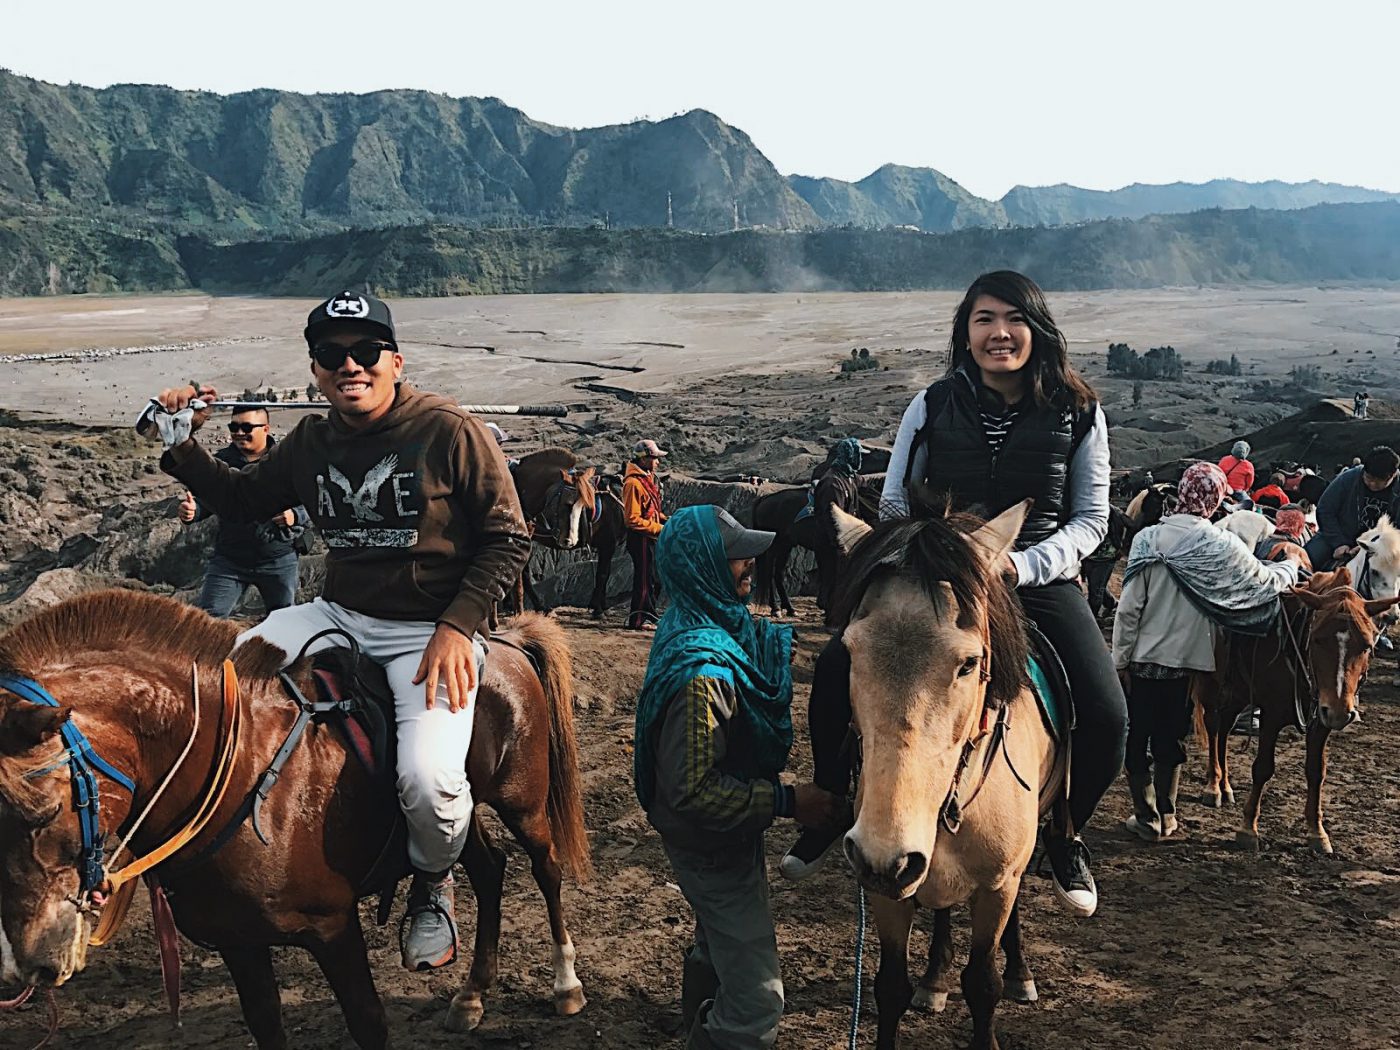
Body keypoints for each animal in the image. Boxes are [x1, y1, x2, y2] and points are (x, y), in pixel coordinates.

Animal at [0, 596, 585, 1047]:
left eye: (44, 812)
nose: (31, 966)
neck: (240, 779)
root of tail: (503, 642)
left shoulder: (333, 929)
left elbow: (368, 1023)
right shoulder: (239, 943)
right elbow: (267, 1025)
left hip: (522, 803)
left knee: (546, 870)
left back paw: (566, 984)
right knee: (488, 868)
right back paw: (471, 995)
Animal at [828, 501, 1058, 1050]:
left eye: (969, 663)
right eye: (849, 651)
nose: (886, 855)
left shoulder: (997, 886)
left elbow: (982, 983)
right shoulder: (885, 890)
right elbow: (889, 985)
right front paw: (924, 980)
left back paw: (1020, 974)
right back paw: (934, 978)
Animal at [1192, 568, 1400, 856]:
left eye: (1367, 645)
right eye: (1318, 639)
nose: (1340, 711)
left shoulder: (1321, 721)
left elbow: (1316, 771)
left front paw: (1317, 832)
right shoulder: (1271, 715)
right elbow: (1262, 768)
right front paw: (1248, 829)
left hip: (1238, 693)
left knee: (1223, 730)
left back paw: (1225, 786)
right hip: (1213, 686)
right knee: (1213, 727)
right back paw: (1213, 786)